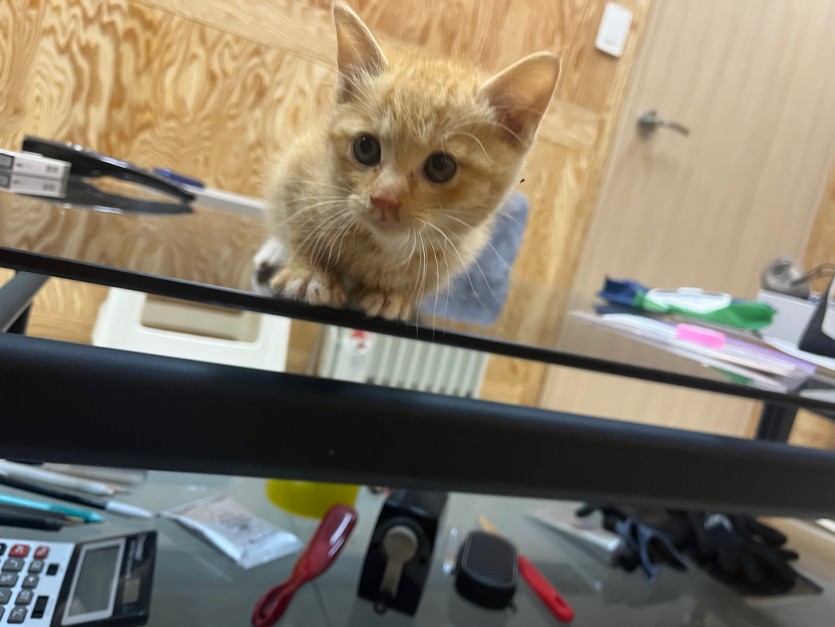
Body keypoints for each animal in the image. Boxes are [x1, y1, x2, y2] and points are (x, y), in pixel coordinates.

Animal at [257, 1, 560, 320]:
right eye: (365, 147)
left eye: (441, 166)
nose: (384, 199)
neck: (383, 248)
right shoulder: (298, 172)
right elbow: (296, 225)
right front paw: (309, 272)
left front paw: (390, 294)